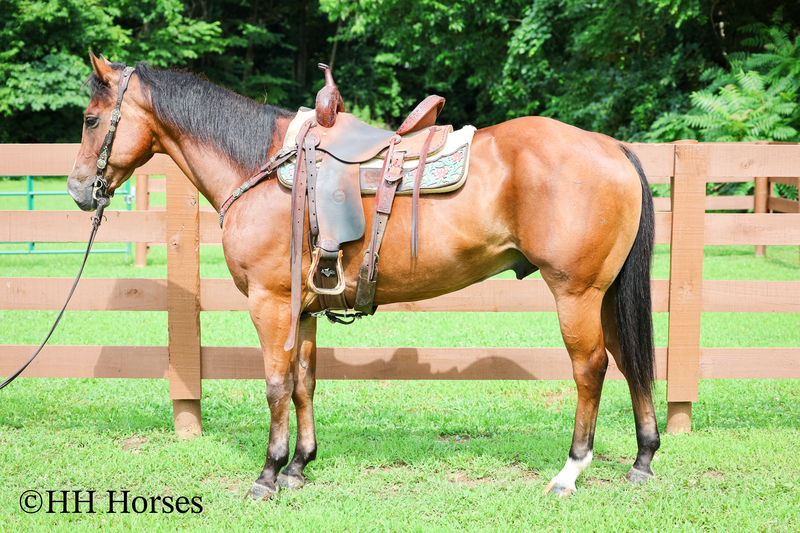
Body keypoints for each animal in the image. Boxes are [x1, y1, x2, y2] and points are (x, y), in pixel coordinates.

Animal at [67, 54, 659, 499]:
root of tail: (613, 147)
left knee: (591, 369)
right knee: (631, 361)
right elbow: (304, 382)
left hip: (576, 293)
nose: (78, 191)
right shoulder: (302, 308)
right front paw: (299, 466)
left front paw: (268, 473)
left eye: (92, 119)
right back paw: (643, 459)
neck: (260, 166)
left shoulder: (269, 302)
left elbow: (276, 383)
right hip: (604, 295)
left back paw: (570, 471)